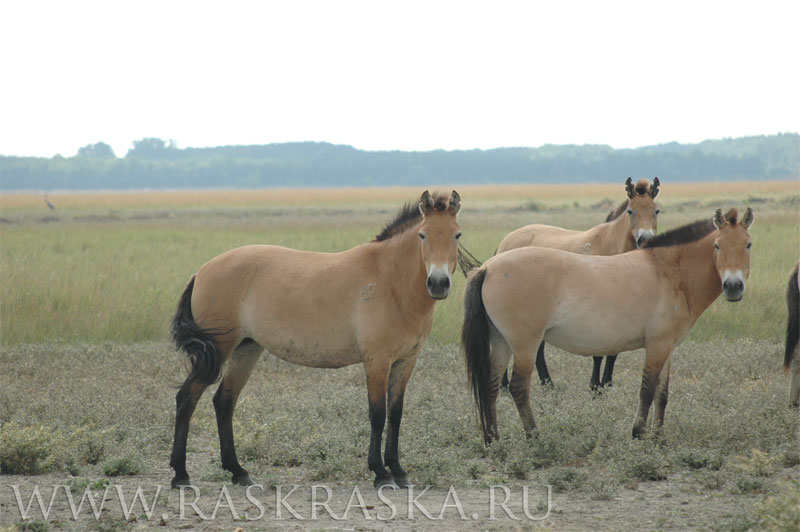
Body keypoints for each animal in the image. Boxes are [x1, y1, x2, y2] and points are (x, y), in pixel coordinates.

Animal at [169, 189, 462, 488]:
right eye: (423, 235)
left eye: (457, 234)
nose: (438, 284)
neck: (390, 281)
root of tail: (202, 271)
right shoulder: (377, 361)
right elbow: (378, 414)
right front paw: (380, 473)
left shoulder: (405, 361)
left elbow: (396, 413)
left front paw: (398, 470)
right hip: (218, 351)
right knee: (187, 398)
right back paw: (181, 475)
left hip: (246, 350)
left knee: (224, 402)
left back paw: (238, 471)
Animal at [462, 208, 756, 444]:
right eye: (717, 245)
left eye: (748, 245)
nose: (733, 286)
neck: (669, 272)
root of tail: (488, 268)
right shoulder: (657, 346)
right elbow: (647, 390)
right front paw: (638, 433)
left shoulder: (668, 348)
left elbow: (662, 393)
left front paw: (659, 437)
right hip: (525, 345)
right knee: (518, 388)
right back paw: (534, 437)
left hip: (501, 342)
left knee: (491, 386)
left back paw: (493, 439)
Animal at [496, 177, 660, 388]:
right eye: (631, 211)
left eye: (656, 211)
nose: (645, 239)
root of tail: (505, 242)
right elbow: (598, 352)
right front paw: (595, 386)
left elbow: (613, 352)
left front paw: (607, 384)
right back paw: (506, 385)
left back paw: (547, 385)